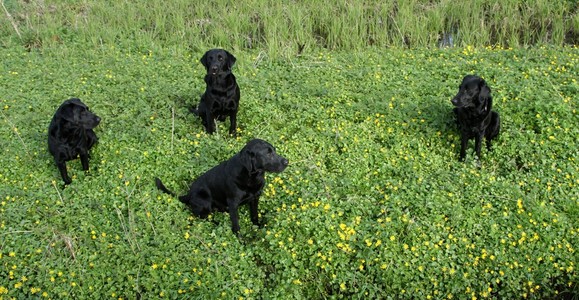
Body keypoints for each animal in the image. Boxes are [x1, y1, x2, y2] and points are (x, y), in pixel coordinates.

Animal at [155, 138, 288, 234]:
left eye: (274, 150)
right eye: (268, 154)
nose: (287, 161)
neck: (251, 176)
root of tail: (188, 194)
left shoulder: (255, 197)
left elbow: (254, 215)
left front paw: (258, 227)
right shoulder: (233, 203)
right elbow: (236, 224)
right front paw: (240, 240)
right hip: (205, 201)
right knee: (203, 217)